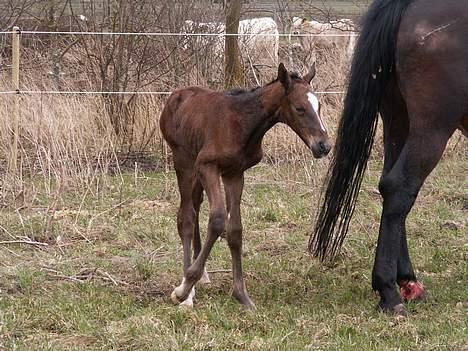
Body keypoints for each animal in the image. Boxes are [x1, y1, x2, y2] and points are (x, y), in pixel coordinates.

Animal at [159, 64, 330, 310]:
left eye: (319, 106)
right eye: (299, 108)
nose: (324, 146)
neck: (243, 123)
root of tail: (174, 96)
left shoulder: (235, 173)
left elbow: (235, 230)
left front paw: (241, 295)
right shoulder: (208, 166)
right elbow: (218, 219)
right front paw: (184, 288)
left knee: (195, 207)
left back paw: (203, 276)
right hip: (184, 162)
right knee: (186, 218)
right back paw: (187, 291)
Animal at [308, 0, 466, 316]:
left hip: (397, 119)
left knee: (389, 187)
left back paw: (407, 280)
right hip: (431, 128)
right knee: (400, 188)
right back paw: (389, 291)